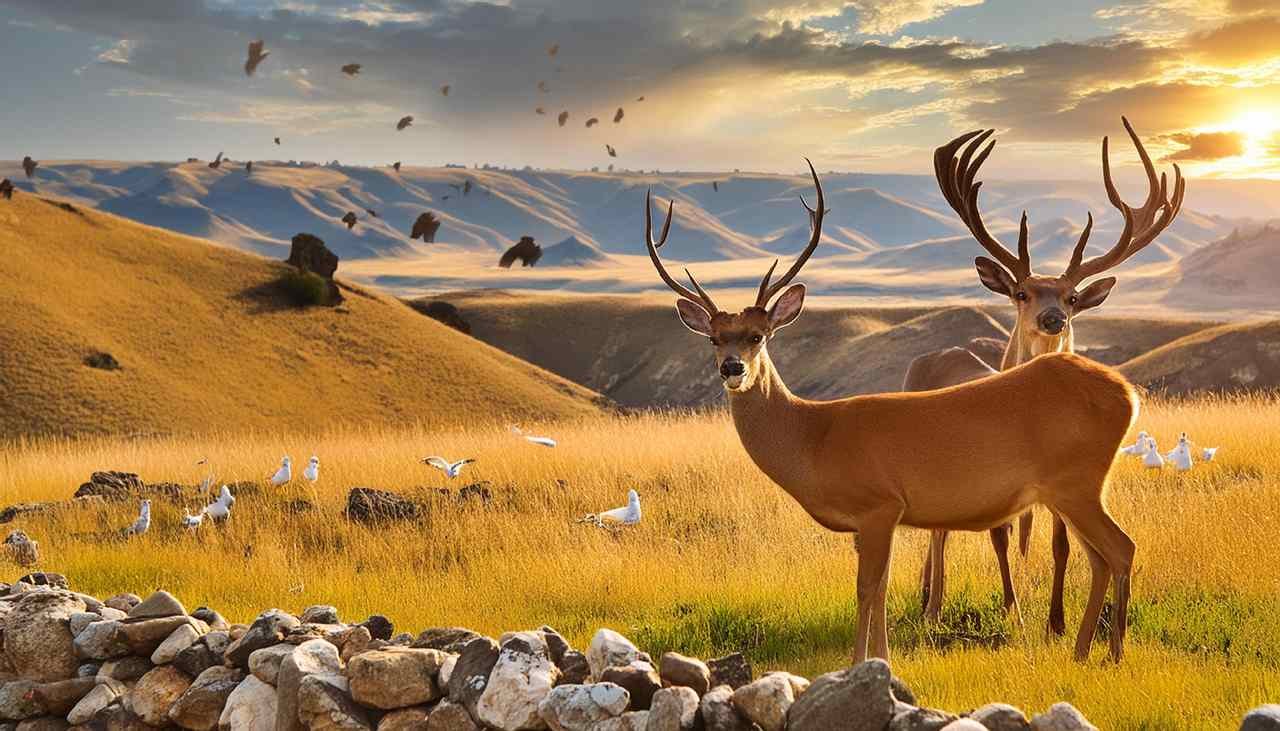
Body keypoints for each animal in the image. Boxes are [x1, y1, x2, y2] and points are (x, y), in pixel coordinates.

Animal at [650, 163, 1141, 665]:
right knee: (1100, 557)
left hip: (1077, 482)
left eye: (758, 335)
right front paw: (879, 656)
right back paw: (1081, 651)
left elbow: (868, 588)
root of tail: (1126, 393)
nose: (732, 368)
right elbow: (880, 588)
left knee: (1121, 548)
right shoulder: (869, 521)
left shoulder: (879, 505)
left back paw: (1114, 652)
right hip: (1070, 490)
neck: (812, 437)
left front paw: (863, 661)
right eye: (714, 338)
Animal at [906, 115, 1182, 634]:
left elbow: (1060, 544)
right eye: (1021, 292)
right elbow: (998, 536)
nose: (1054, 318)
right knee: (939, 531)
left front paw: (1055, 620)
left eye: (1072, 297)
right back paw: (932, 602)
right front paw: (1012, 611)